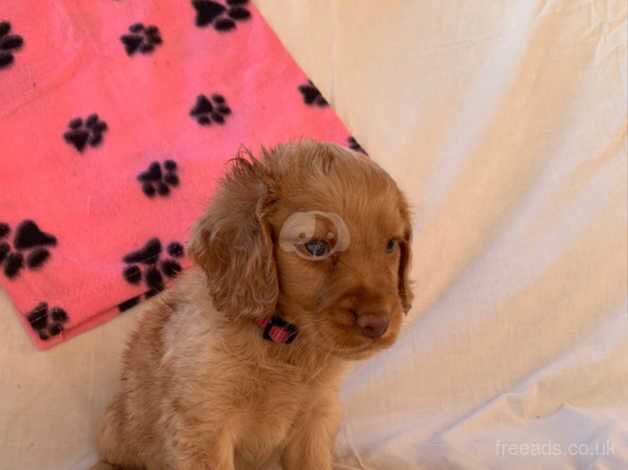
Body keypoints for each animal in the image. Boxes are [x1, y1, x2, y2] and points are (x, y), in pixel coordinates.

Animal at [95, 140, 414, 470]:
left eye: (391, 245)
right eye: (316, 247)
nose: (378, 323)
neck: (283, 342)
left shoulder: (316, 417)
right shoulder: (203, 428)